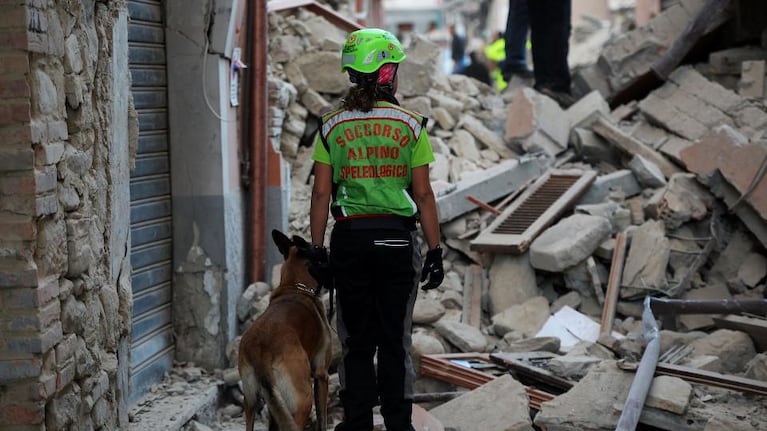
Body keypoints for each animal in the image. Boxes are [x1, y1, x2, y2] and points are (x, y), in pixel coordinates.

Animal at [237, 231, 332, 431]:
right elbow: (322, 420)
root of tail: (261, 350)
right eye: (322, 251)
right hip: (303, 401)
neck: (295, 286)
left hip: (250, 401)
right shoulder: (321, 375)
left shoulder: (275, 404)